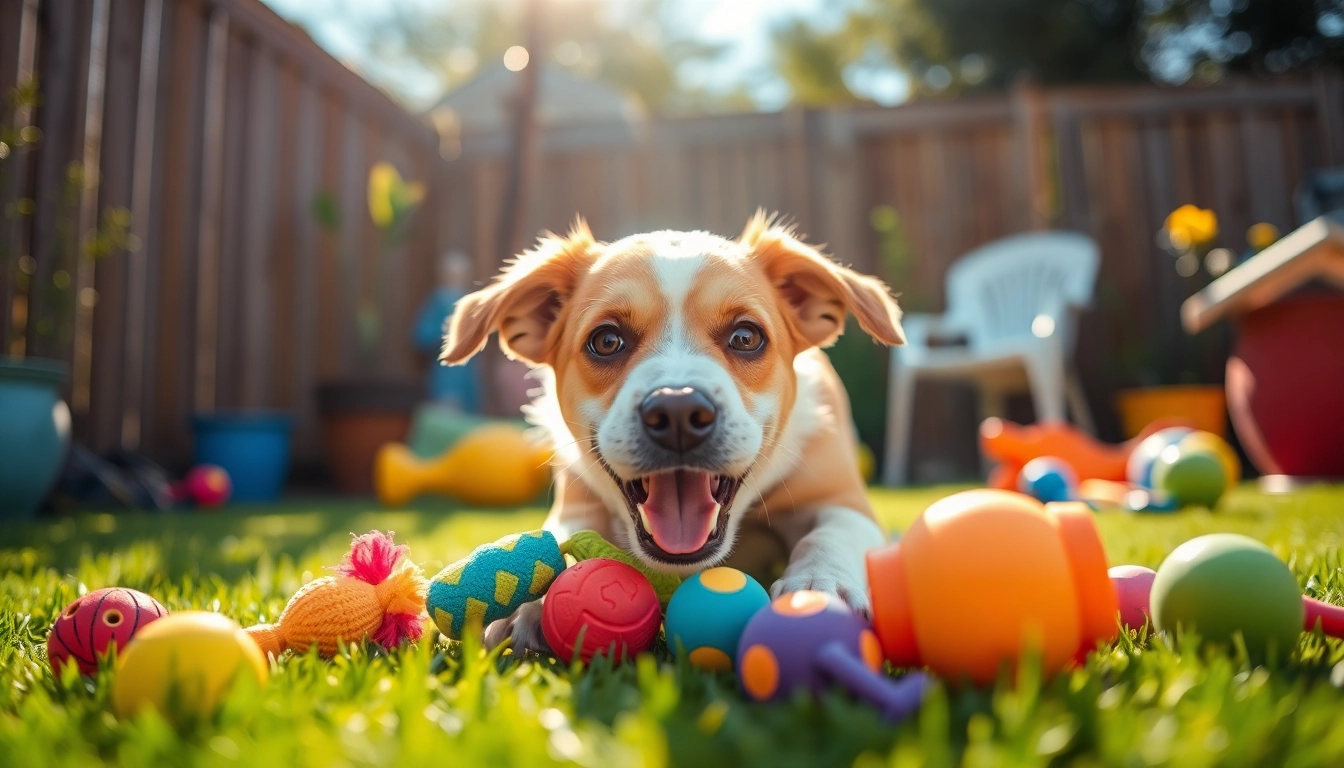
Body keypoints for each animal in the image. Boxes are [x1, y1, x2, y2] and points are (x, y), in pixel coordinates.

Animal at [446, 213, 908, 650]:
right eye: (606, 340)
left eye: (746, 336)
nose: (679, 410)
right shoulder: (574, 499)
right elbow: (558, 536)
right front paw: (532, 601)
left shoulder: (842, 499)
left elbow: (831, 534)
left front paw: (819, 587)